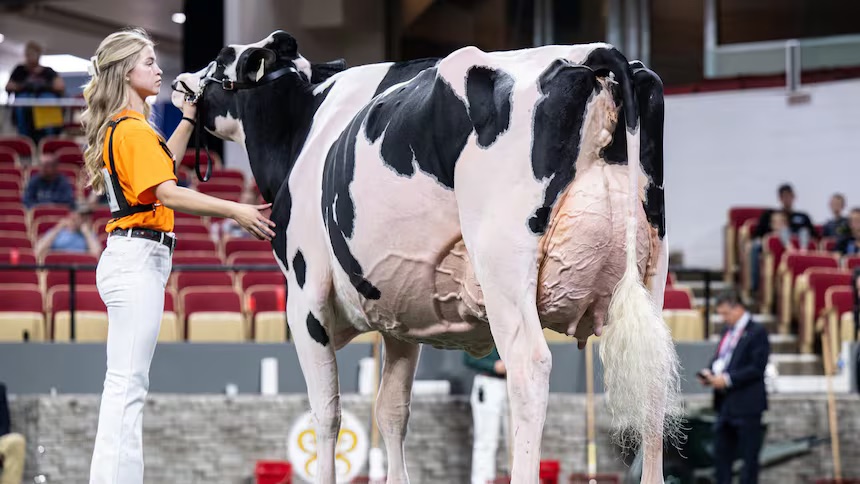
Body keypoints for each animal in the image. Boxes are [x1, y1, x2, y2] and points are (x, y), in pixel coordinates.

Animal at [172, 31, 682, 484]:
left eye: (222, 58)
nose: (179, 82)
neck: (303, 125)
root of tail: (596, 52)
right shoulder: (401, 316)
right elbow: (391, 409)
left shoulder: (304, 298)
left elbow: (326, 413)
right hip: (652, 265)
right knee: (654, 378)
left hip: (503, 264)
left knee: (529, 370)